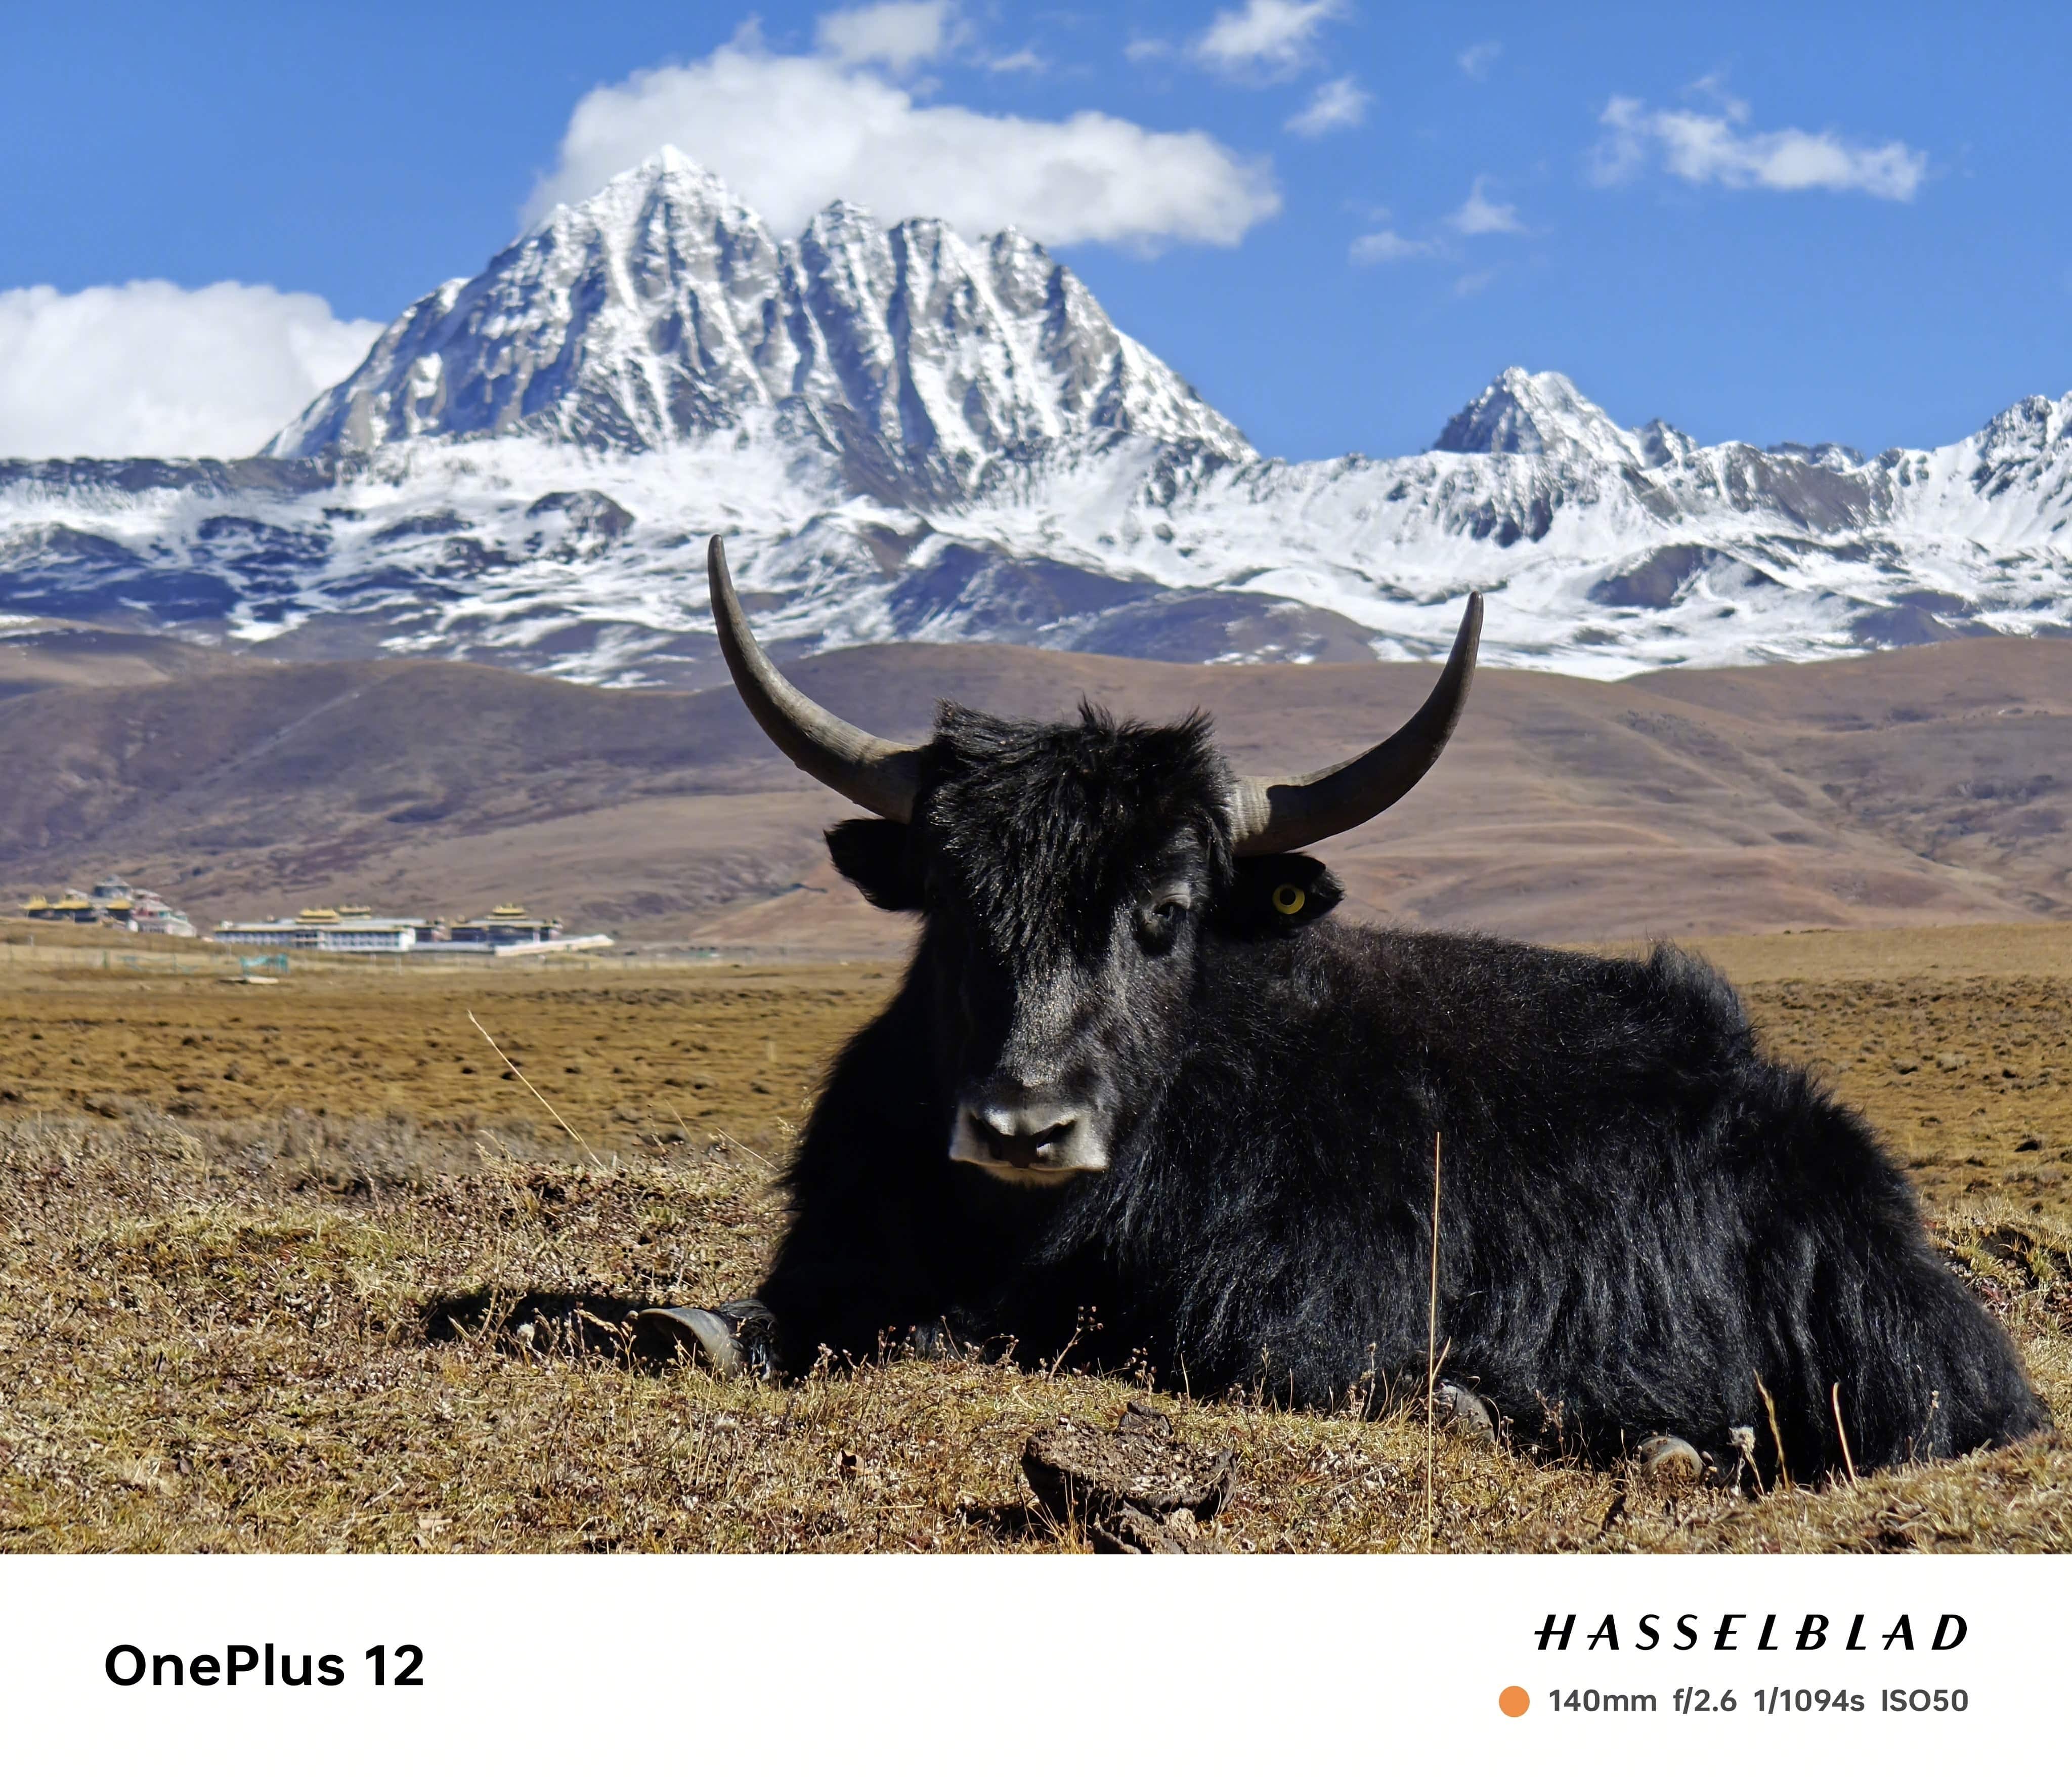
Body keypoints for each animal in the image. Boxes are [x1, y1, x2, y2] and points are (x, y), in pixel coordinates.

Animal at [655, 536, 2048, 1481]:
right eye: (950, 899)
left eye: (1166, 908)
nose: (1022, 1127)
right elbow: (744, 1326)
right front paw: (703, 1328)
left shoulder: (1314, 1302)